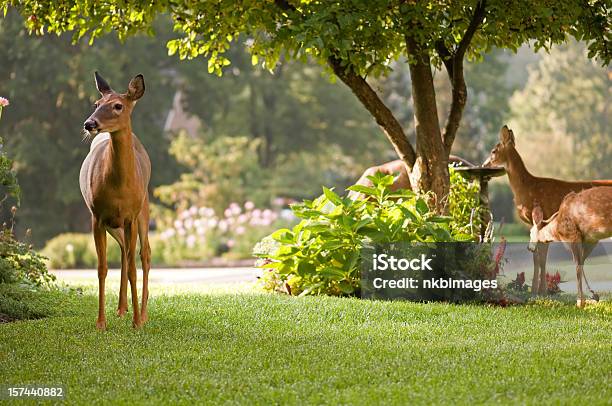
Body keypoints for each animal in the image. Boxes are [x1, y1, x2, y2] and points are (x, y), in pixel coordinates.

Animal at [79, 71, 151, 328]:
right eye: (96, 104)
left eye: (118, 106)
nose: (89, 124)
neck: (119, 187)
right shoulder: (97, 216)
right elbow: (101, 268)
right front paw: (101, 322)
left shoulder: (131, 216)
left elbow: (133, 269)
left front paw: (137, 322)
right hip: (113, 223)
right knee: (123, 253)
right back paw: (121, 308)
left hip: (144, 209)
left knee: (144, 254)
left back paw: (143, 313)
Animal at [482, 125, 612, 296]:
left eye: (493, 151)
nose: (483, 165)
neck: (527, 188)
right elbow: (537, 257)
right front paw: (537, 291)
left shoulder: (543, 218)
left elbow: (540, 257)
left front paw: (539, 292)